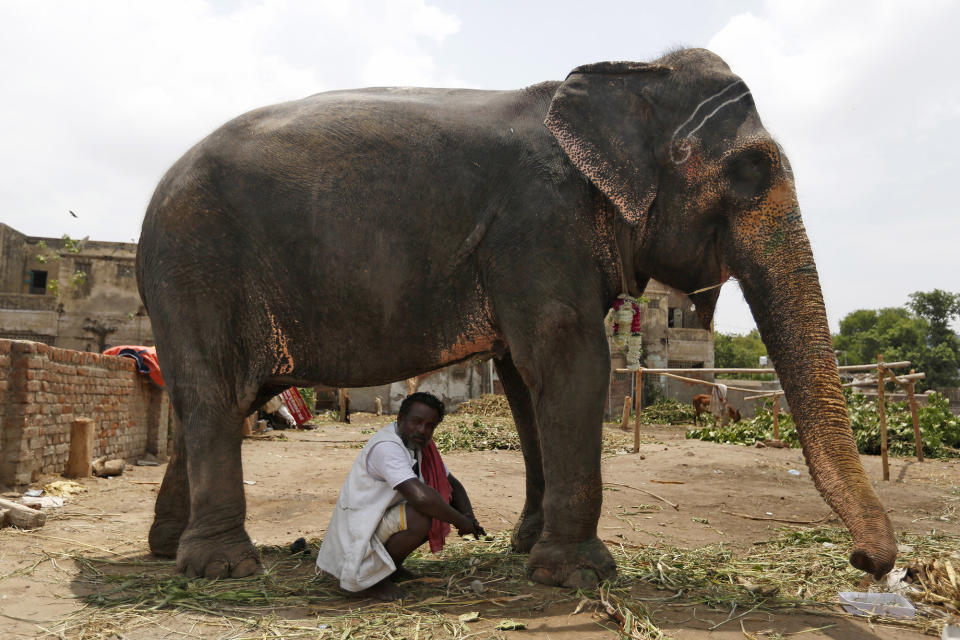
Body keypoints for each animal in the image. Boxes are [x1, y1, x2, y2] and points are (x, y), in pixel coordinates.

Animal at [139, 46, 896, 584]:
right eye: (748, 173)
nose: (868, 564)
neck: (625, 75)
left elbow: (524, 380)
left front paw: (527, 547)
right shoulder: (540, 224)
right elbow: (569, 362)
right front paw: (578, 575)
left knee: (223, 400)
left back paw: (169, 551)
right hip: (195, 268)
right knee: (212, 395)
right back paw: (222, 568)